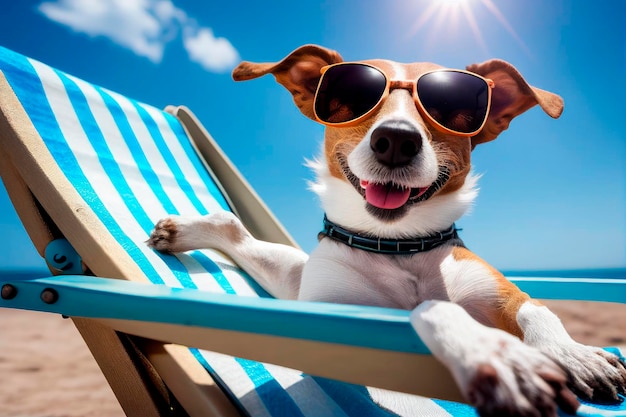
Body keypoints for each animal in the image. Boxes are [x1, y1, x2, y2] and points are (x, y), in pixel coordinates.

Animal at [150, 45, 624, 416]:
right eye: (350, 96)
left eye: (452, 108)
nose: (396, 139)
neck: (400, 247)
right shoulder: (327, 315)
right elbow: (430, 308)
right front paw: (496, 355)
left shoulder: (500, 292)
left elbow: (535, 310)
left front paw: (574, 354)